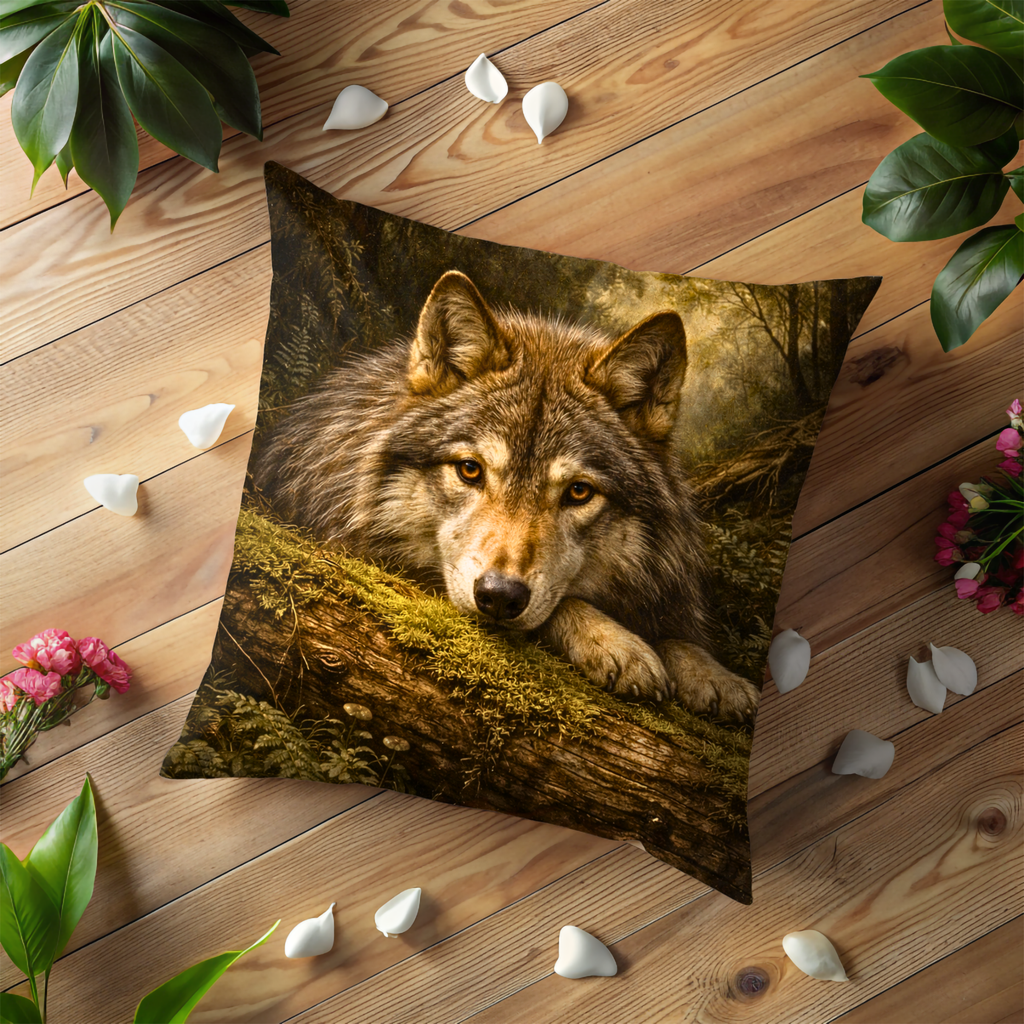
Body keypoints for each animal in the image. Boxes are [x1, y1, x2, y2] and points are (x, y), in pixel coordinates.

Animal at [255, 271, 760, 723]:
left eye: (578, 492)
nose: (499, 596)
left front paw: (714, 675)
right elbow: (565, 604)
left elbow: (680, 636)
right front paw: (617, 643)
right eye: (470, 470)